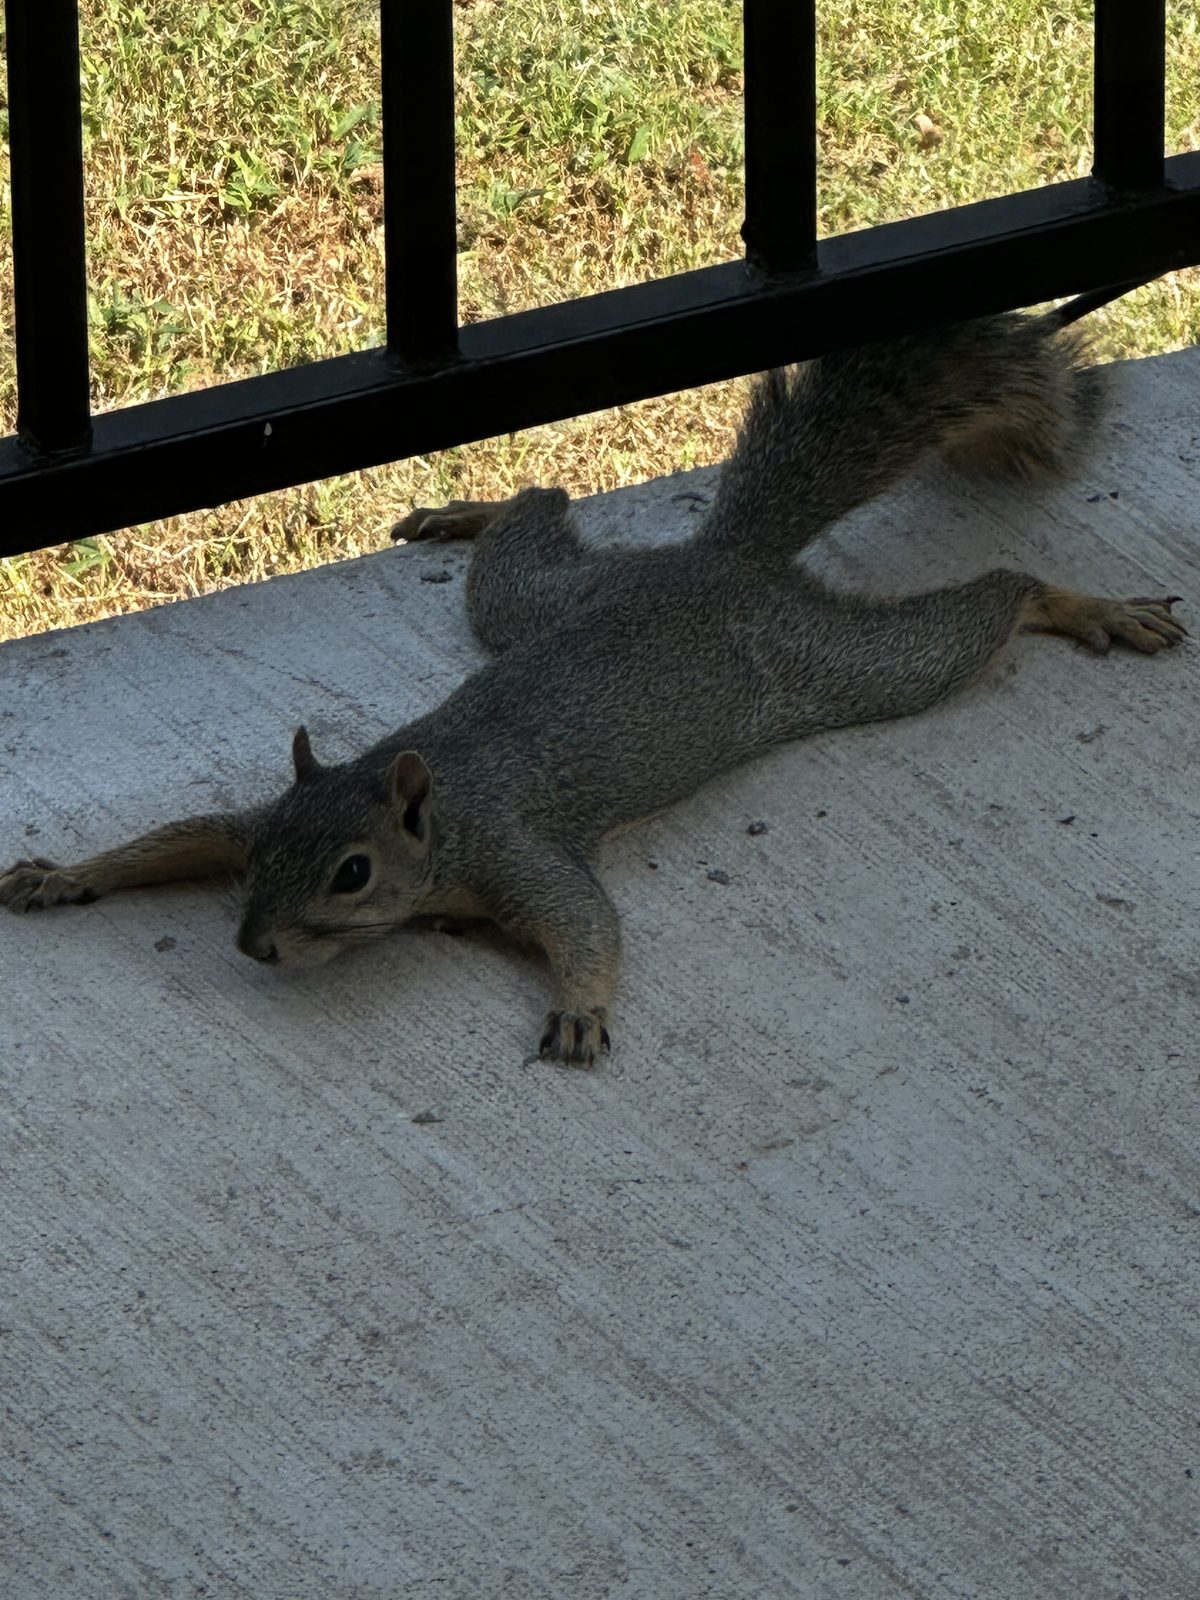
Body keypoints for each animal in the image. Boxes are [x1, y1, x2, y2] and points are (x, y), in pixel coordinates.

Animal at [0, 309, 1186, 1064]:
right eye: (272, 854)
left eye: (351, 873)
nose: (252, 946)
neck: (432, 809)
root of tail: (718, 558)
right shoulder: (252, 821)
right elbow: (180, 836)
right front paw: (68, 876)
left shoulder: (520, 851)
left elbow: (588, 925)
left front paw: (578, 1013)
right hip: (544, 603)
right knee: (538, 513)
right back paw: (468, 508)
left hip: (830, 666)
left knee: (984, 609)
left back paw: (1078, 607)